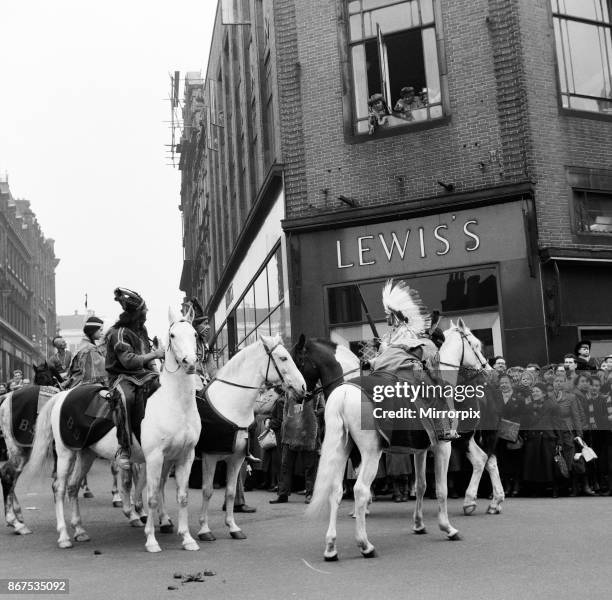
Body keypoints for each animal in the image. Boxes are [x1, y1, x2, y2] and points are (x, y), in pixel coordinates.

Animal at [196, 336, 306, 540]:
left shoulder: (237, 457)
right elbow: (207, 491)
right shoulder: (210, 456)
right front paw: (205, 530)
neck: (230, 405)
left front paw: (233, 527)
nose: (303, 387)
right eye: (283, 358)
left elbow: (231, 492)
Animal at [308, 322, 490, 560]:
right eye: (475, 344)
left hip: (343, 449)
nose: (488, 370)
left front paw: (419, 524)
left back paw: (331, 547)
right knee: (360, 490)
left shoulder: (421, 450)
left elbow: (421, 485)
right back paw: (365, 545)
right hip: (371, 453)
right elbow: (441, 489)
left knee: (336, 491)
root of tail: (345, 393)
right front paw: (447, 528)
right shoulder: (442, 446)